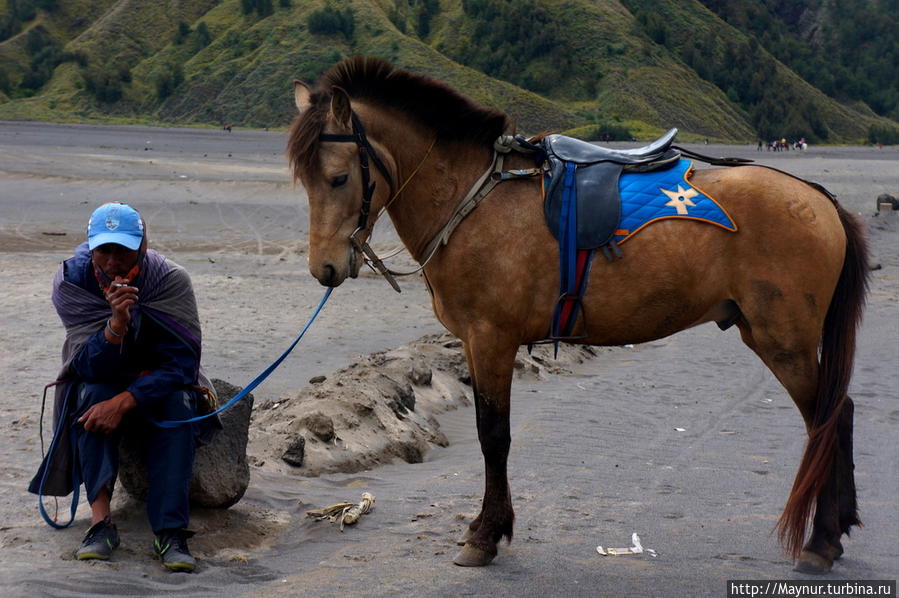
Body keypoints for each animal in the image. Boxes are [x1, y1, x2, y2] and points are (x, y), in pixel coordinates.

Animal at [284, 57, 868, 576]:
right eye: (304, 181)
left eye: (338, 178)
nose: (325, 268)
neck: (475, 200)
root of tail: (817, 198)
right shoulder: (474, 342)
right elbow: (491, 434)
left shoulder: (491, 339)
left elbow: (493, 437)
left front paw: (486, 535)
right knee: (838, 414)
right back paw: (835, 531)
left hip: (783, 342)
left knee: (828, 418)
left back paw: (820, 541)